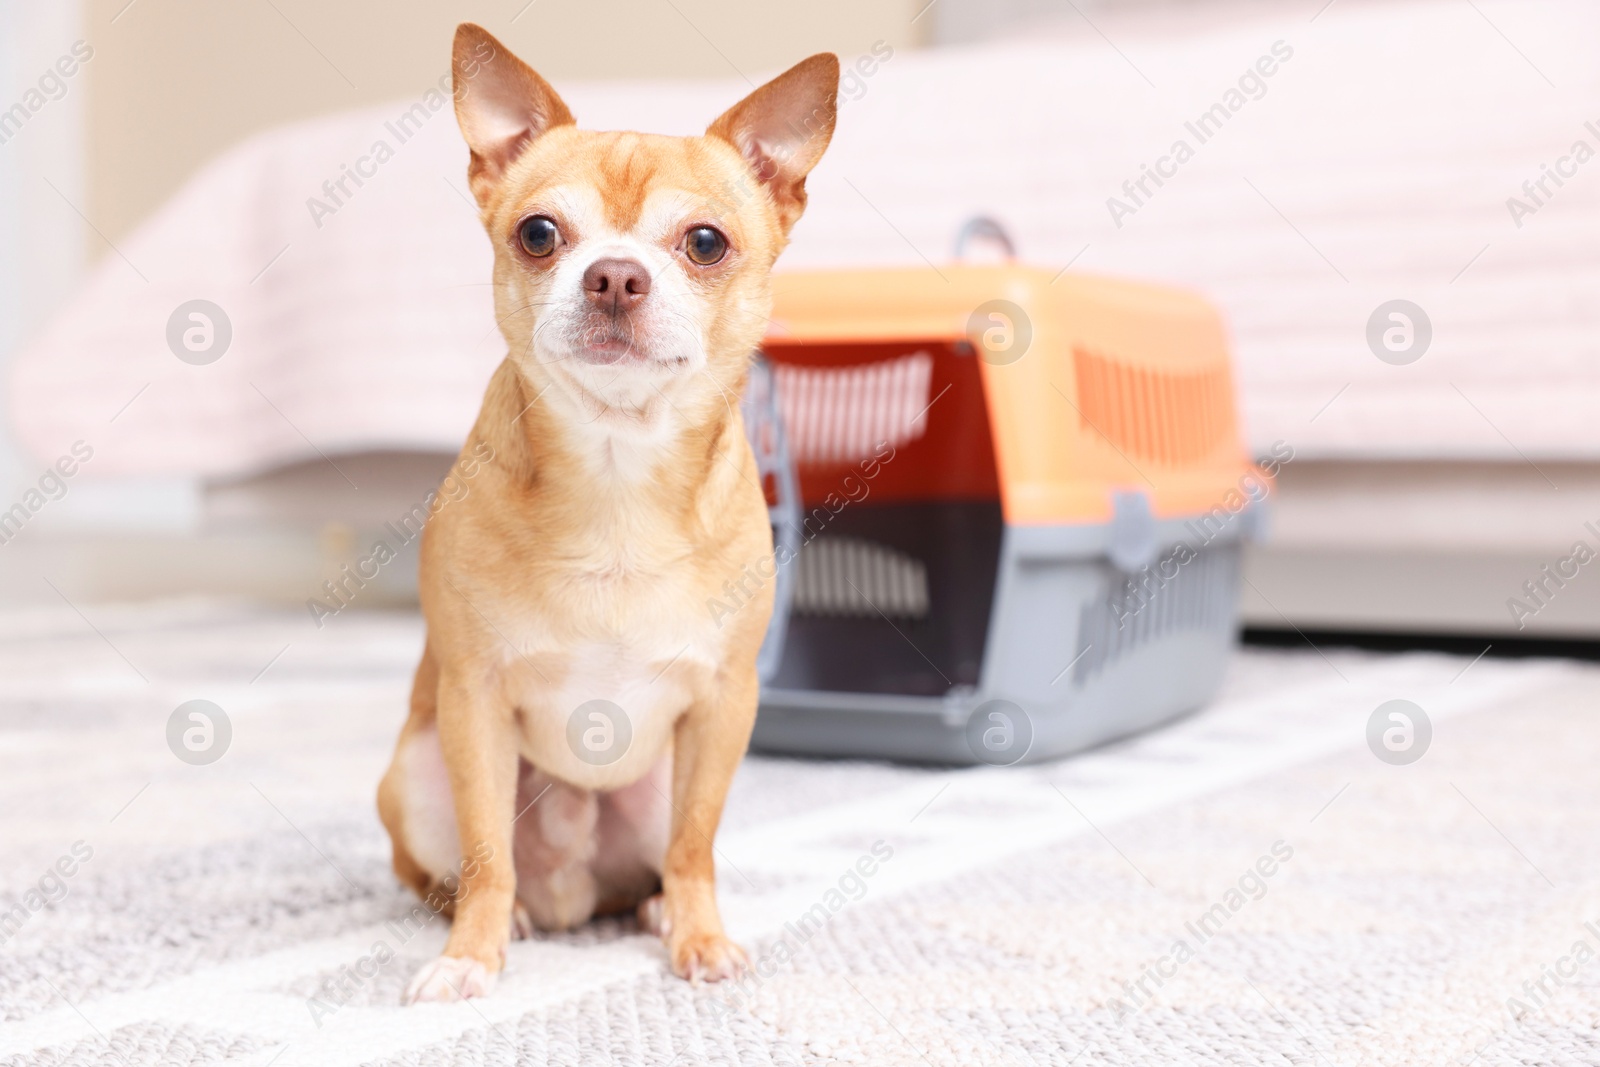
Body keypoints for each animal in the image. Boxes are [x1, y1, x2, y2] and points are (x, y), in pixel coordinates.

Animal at [374, 22, 838, 1004]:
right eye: (539, 233)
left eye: (705, 242)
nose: (615, 275)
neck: (619, 473)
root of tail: (573, 891)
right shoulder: (473, 700)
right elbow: (486, 851)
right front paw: (470, 956)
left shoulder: (722, 704)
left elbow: (697, 843)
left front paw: (700, 938)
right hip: (416, 774)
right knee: (466, 868)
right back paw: (509, 915)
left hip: (656, 784)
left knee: (665, 860)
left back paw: (659, 910)